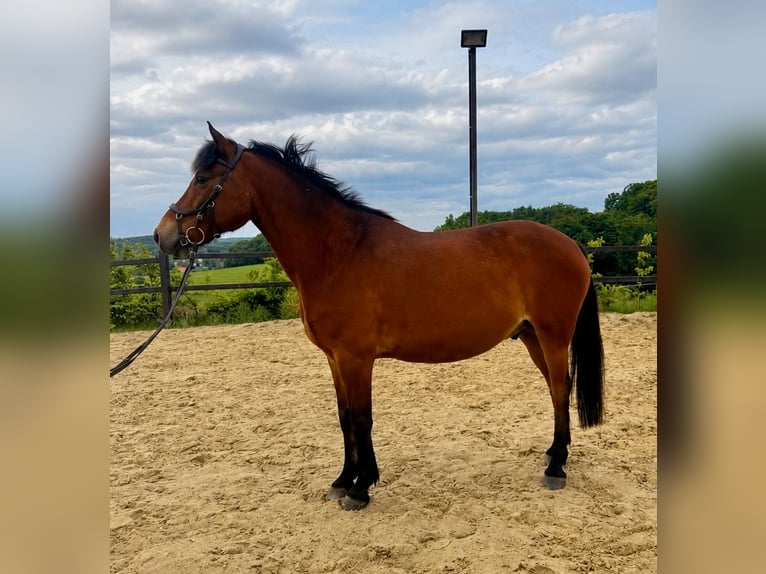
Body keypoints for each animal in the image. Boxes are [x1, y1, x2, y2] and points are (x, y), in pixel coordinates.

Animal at [154, 122, 605, 511]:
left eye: (202, 179)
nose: (162, 235)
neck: (338, 253)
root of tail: (570, 243)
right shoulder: (334, 358)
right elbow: (344, 419)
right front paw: (342, 480)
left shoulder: (356, 358)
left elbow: (362, 418)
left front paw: (361, 488)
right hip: (531, 335)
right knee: (557, 388)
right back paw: (553, 453)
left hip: (552, 335)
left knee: (560, 388)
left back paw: (556, 468)